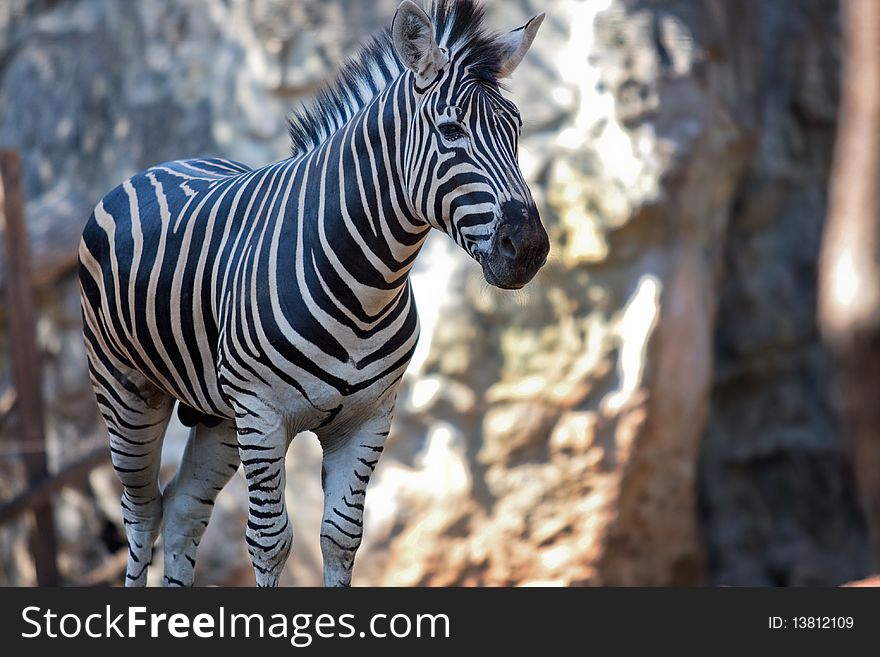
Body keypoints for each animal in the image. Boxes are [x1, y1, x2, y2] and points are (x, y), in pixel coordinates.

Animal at [81, 0, 552, 584]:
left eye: (517, 128)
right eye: (450, 130)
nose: (529, 246)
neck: (367, 289)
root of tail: (162, 165)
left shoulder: (369, 418)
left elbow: (341, 536)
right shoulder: (261, 414)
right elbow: (270, 542)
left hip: (218, 416)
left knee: (184, 509)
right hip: (127, 393)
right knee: (141, 515)